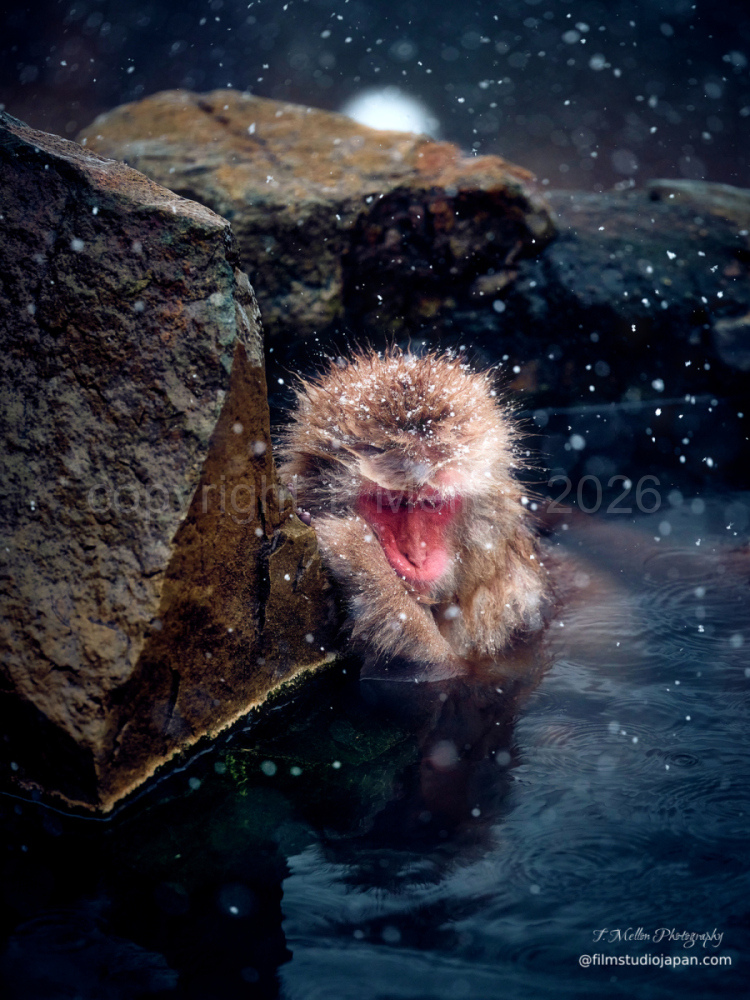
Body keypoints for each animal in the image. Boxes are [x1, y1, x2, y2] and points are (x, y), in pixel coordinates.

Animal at [278, 349, 550, 681]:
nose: (416, 556)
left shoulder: (509, 602)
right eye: (388, 503)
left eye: (431, 504)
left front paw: (356, 553)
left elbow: (456, 672)